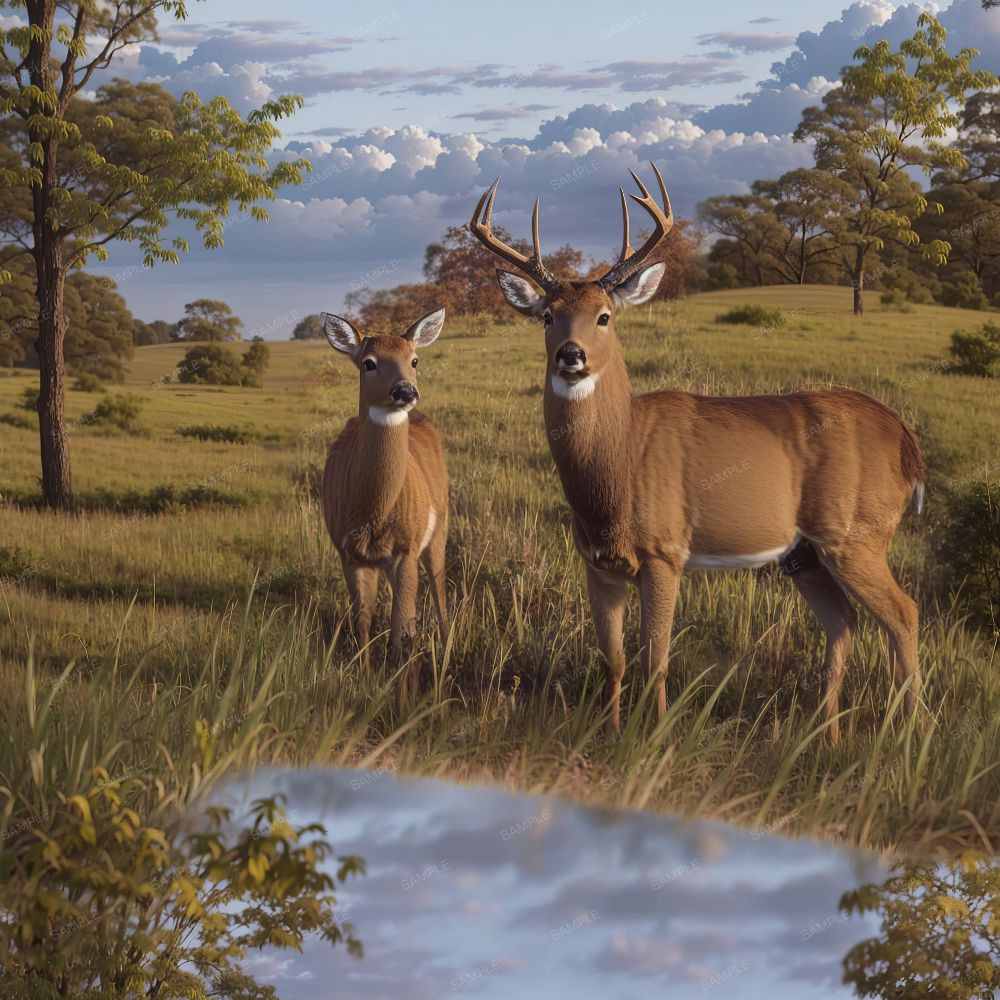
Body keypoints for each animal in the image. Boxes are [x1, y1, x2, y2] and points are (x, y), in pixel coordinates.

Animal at [320, 307, 449, 705]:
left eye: (414, 359)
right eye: (369, 363)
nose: (405, 390)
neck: (373, 512)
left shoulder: (406, 548)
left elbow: (403, 633)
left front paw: (405, 699)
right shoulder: (349, 553)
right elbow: (362, 621)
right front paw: (365, 679)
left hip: (440, 529)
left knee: (439, 593)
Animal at [468, 163, 926, 745]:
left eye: (604, 316)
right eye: (547, 316)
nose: (571, 355)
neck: (620, 468)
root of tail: (906, 440)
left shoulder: (665, 551)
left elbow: (656, 658)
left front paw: (656, 736)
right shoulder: (597, 563)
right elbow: (613, 659)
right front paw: (610, 734)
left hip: (857, 532)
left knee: (904, 612)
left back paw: (912, 733)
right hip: (805, 554)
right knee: (843, 620)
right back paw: (827, 737)